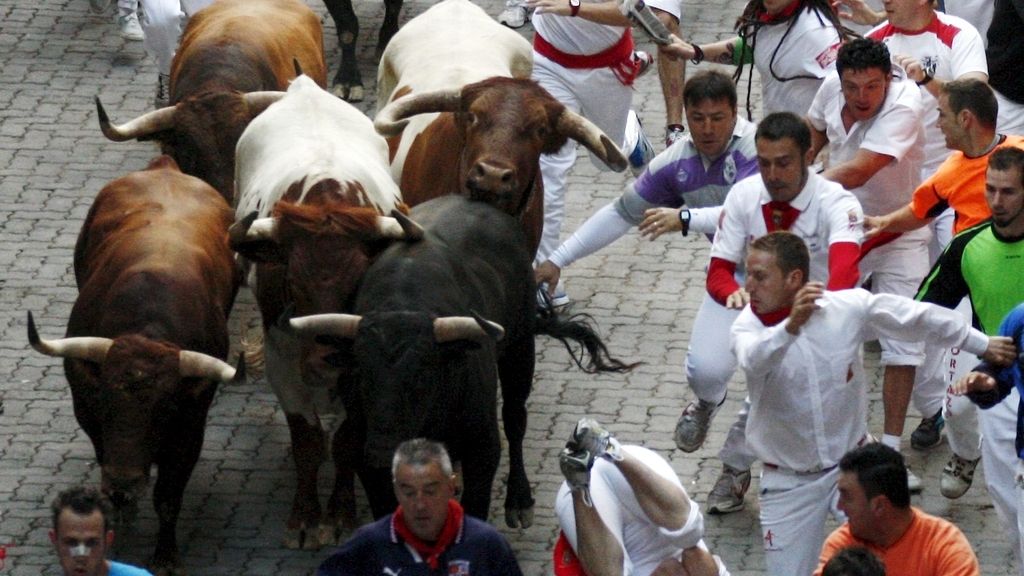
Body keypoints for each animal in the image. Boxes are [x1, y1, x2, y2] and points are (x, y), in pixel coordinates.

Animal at [28, 153, 241, 573]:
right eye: (104, 402)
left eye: (165, 409)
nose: (125, 480)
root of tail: (166, 167)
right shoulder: (88, 414)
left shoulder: (190, 426)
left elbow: (168, 496)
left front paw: (165, 555)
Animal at [230, 75, 409, 545]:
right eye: (293, 281)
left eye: (361, 281)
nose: (328, 358)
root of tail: (304, 87)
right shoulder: (281, 361)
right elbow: (307, 441)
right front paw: (306, 517)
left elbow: (348, 440)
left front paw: (342, 513)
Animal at [292, 194, 634, 528]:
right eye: (360, 374)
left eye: (422, 374)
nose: (383, 452)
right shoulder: (367, 461)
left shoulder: (482, 447)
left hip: (520, 348)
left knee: (515, 419)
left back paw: (519, 499)